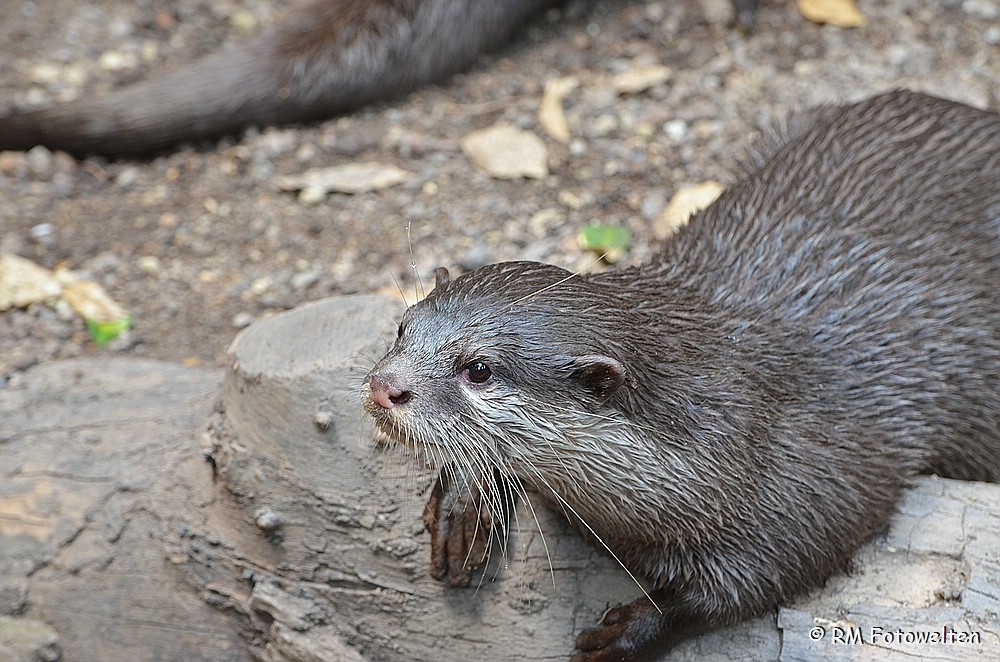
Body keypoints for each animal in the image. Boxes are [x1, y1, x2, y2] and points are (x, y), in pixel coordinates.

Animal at [362, 91, 1000, 660]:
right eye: (402, 326)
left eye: (478, 369)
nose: (385, 386)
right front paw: (461, 507)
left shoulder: (818, 481)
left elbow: (764, 577)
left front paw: (628, 632)